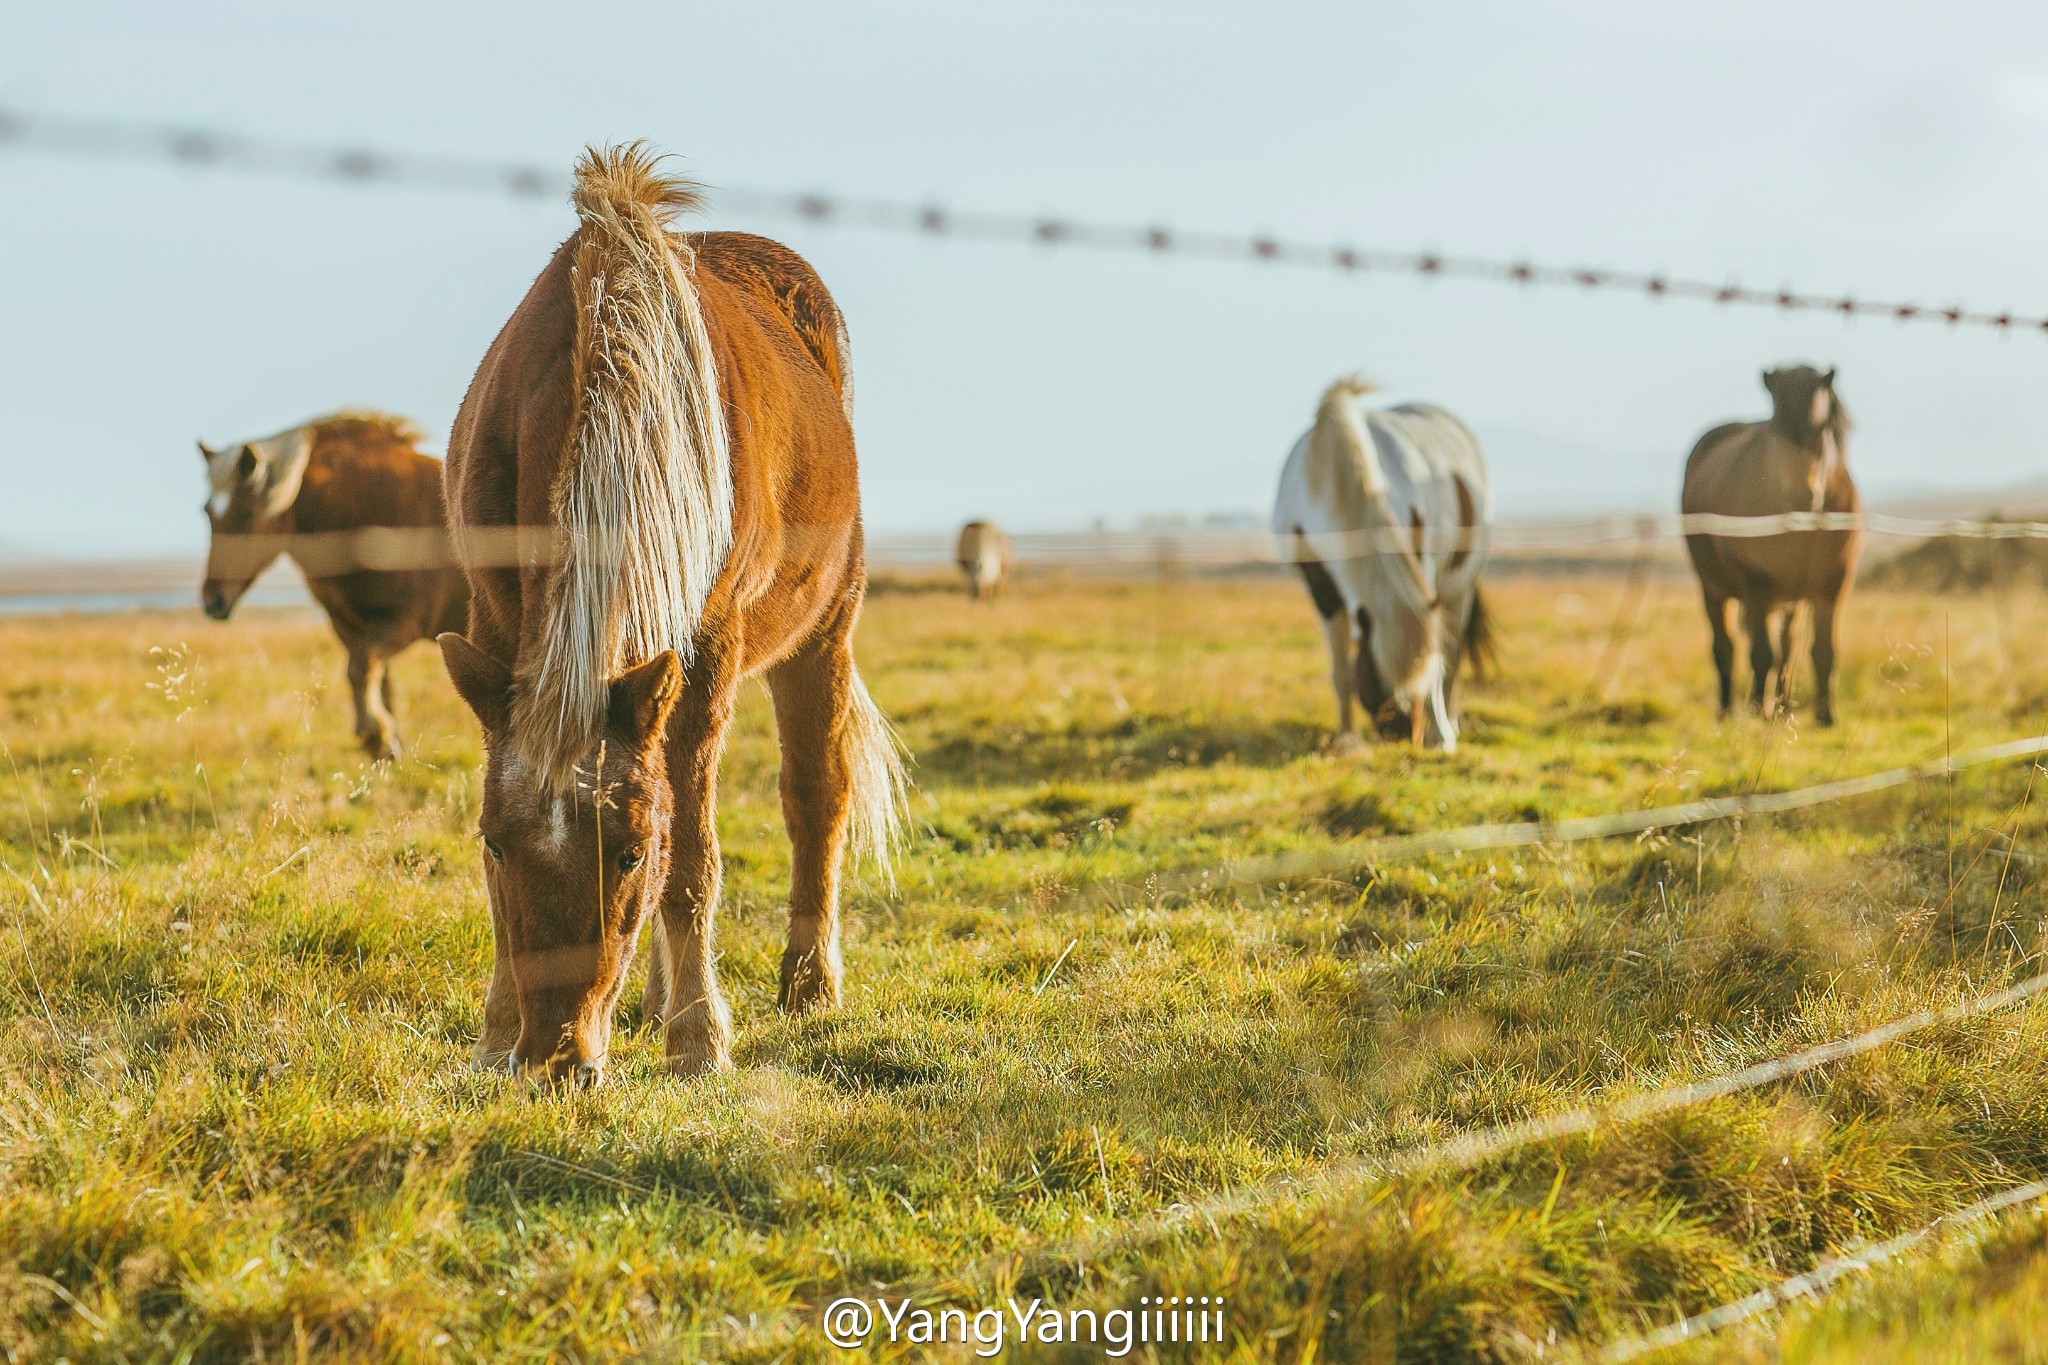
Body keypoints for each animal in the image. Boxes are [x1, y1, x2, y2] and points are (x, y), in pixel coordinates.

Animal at [198, 411, 468, 765]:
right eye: (207, 512)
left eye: (246, 513)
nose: (212, 600)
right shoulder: (348, 625)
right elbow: (376, 677)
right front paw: (387, 744)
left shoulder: (406, 622)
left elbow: (361, 666)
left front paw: (375, 733)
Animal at [440, 144, 905, 1088]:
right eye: (498, 845)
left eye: (628, 851)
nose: (557, 1060)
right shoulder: (497, 631)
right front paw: (495, 1036)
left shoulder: (706, 654)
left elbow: (692, 857)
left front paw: (699, 1037)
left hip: (825, 630)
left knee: (816, 797)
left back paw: (809, 984)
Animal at [1269, 378, 1499, 753]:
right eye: (1378, 679)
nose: (1404, 734)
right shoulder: (1320, 588)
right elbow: (1340, 670)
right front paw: (1346, 739)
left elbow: (1437, 658)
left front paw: (1441, 737)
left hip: (1460, 586)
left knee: (1452, 654)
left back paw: (1448, 725)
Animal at [1679, 362, 1859, 724]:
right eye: (1774, 430)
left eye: (1822, 430)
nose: (1803, 495)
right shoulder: (1756, 584)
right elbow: (1762, 653)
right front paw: (1756, 709)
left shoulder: (1833, 584)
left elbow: (1823, 651)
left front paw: (1825, 716)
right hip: (1714, 588)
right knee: (1726, 646)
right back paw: (1729, 709)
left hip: (1790, 598)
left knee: (1787, 647)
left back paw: (1784, 706)